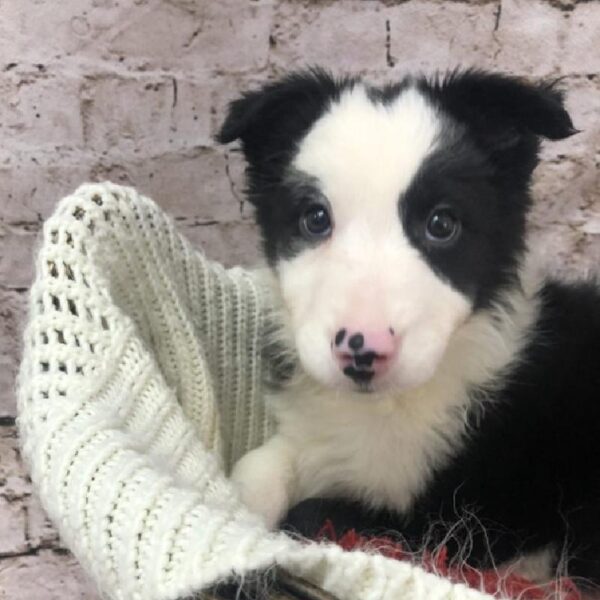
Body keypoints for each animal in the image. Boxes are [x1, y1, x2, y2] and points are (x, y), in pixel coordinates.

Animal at [216, 69, 600, 584]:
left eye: (442, 223)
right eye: (315, 219)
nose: (362, 350)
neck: (385, 408)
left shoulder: (457, 521)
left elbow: (315, 512)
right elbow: (257, 469)